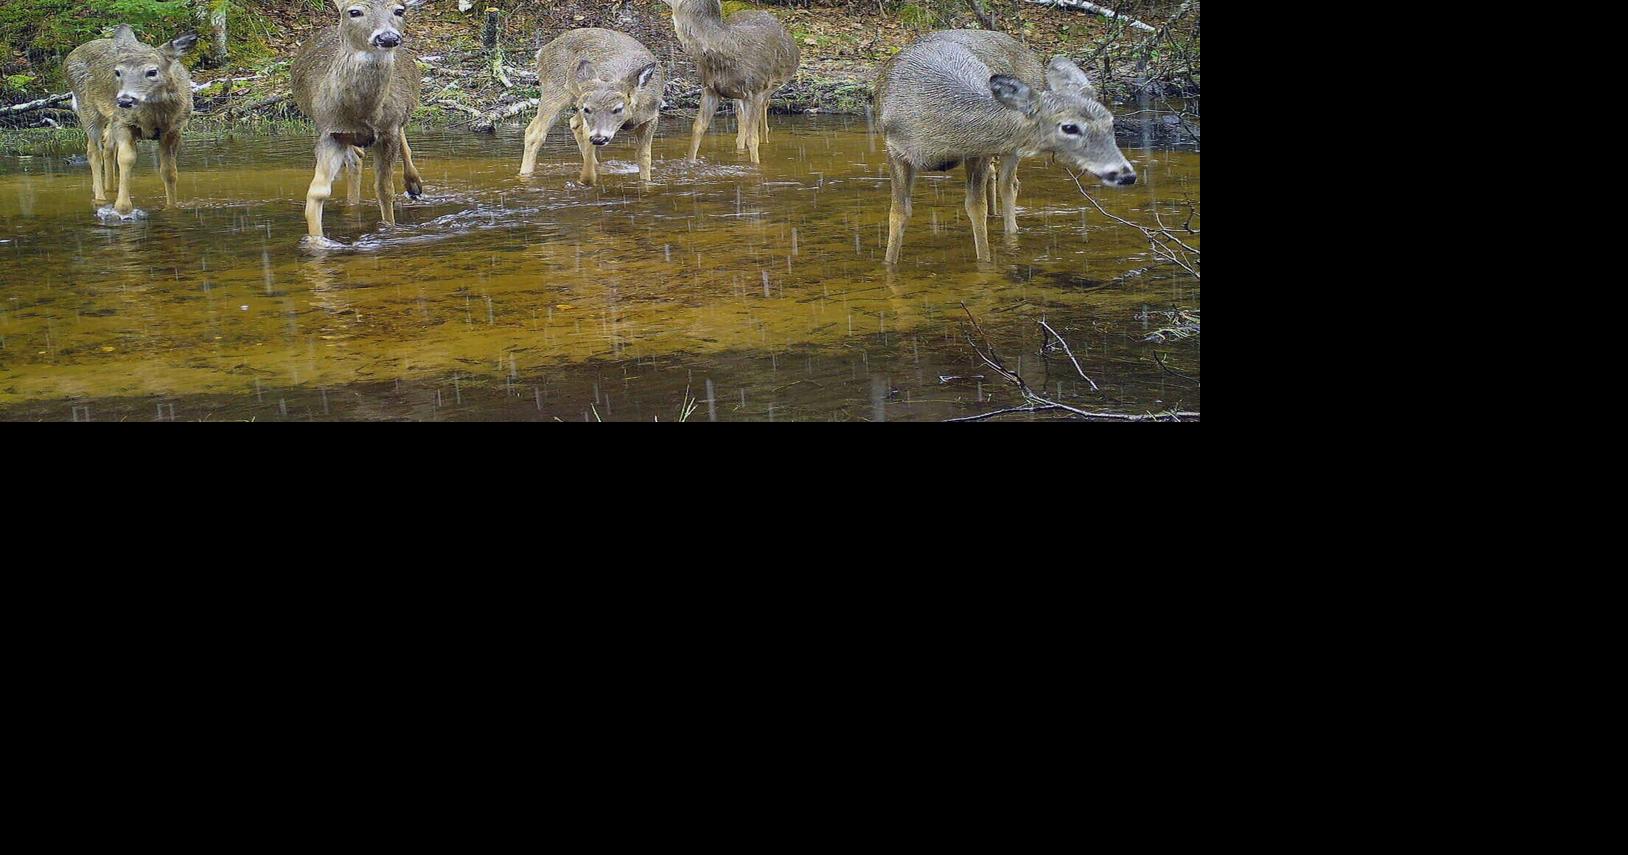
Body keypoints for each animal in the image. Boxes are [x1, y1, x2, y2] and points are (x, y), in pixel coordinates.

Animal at [63, 25, 198, 217]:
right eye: (118, 72)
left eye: (152, 71)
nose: (124, 100)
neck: (155, 116)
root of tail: (70, 55)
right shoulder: (124, 122)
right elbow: (126, 159)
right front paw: (123, 208)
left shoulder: (174, 129)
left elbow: (169, 171)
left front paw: (172, 207)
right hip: (88, 110)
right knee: (93, 151)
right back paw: (100, 198)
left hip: (110, 119)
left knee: (108, 146)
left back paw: (109, 188)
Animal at [290, 0, 423, 248]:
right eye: (355, 11)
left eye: (399, 10)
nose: (388, 37)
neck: (362, 114)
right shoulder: (332, 131)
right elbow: (317, 191)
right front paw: (317, 242)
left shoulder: (388, 130)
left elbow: (384, 189)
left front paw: (389, 229)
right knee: (357, 158)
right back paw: (353, 204)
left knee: (402, 138)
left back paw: (414, 184)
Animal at [517, 29, 664, 186]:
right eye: (588, 109)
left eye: (618, 108)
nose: (599, 138)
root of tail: (542, 52)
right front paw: (586, 179)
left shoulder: (651, 117)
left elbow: (644, 157)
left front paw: (646, 182)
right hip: (555, 90)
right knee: (535, 132)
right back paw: (525, 174)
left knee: (573, 123)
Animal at [659, 0, 799, 165]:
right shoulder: (709, 88)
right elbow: (698, 127)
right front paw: (690, 162)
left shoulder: (756, 88)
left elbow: (753, 138)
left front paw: (755, 166)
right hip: (741, 95)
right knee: (741, 118)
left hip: (769, 86)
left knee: (763, 112)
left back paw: (765, 141)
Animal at [874, 30, 1137, 264]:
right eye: (1070, 127)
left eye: (1110, 122)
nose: (1126, 174)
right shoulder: (894, 148)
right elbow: (898, 213)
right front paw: (889, 264)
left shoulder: (977, 151)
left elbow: (975, 208)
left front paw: (985, 263)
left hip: (1010, 147)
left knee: (1008, 184)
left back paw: (1011, 233)